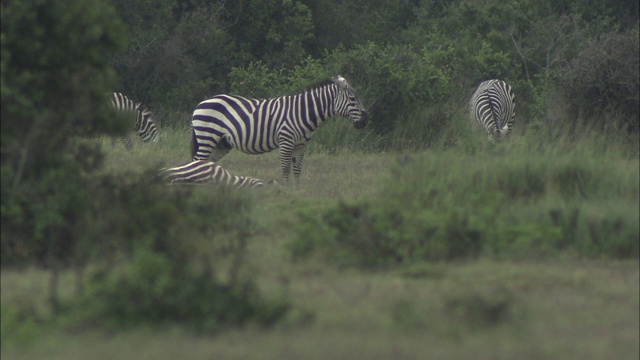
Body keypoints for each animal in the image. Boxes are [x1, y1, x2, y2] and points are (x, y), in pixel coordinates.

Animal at [190, 75, 368, 183]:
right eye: (353, 99)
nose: (365, 120)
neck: (302, 112)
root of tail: (200, 103)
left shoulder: (301, 145)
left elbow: (297, 169)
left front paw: (297, 191)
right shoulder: (286, 140)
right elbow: (285, 168)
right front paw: (284, 190)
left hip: (221, 143)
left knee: (207, 164)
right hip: (207, 137)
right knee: (198, 162)